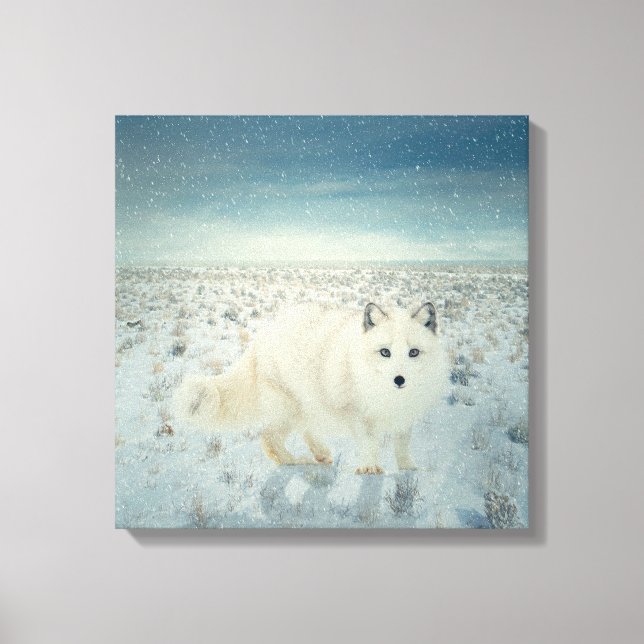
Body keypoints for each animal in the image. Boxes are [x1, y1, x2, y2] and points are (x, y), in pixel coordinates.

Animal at [175, 301, 448, 474]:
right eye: (385, 352)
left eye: (414, 352)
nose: (399, 379)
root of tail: (262, 335)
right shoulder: (358, 414)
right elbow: (369, 443)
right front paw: (370, 468)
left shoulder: (405, 417)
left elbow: (402, 445)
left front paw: (408, 468)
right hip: (289, 409)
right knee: (269, 438)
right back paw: (296, 462)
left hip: (308, 405)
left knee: (304, 431)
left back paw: (321, 454)